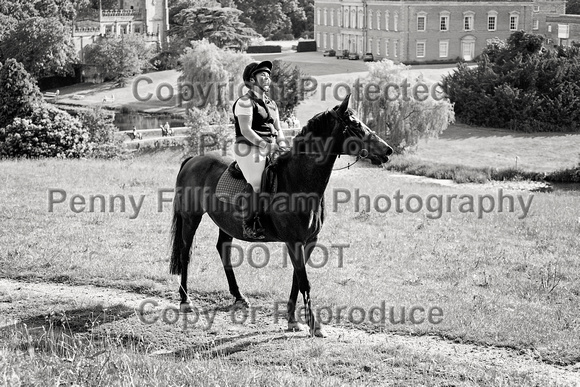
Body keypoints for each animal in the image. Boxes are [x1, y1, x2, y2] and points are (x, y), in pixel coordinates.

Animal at [170, 94, 392, 336]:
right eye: (355, 125)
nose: (388, 150)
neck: (298, 180)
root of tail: (193, 159)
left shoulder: (308, 240)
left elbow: (297, 278)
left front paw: (292, 319)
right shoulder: (293, 240)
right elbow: (304, 281)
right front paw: (314, 325)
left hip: (226, 223)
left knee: (223, 249)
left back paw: (239, 297)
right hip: (191, 218)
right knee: (186, 253)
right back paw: (185, 300)